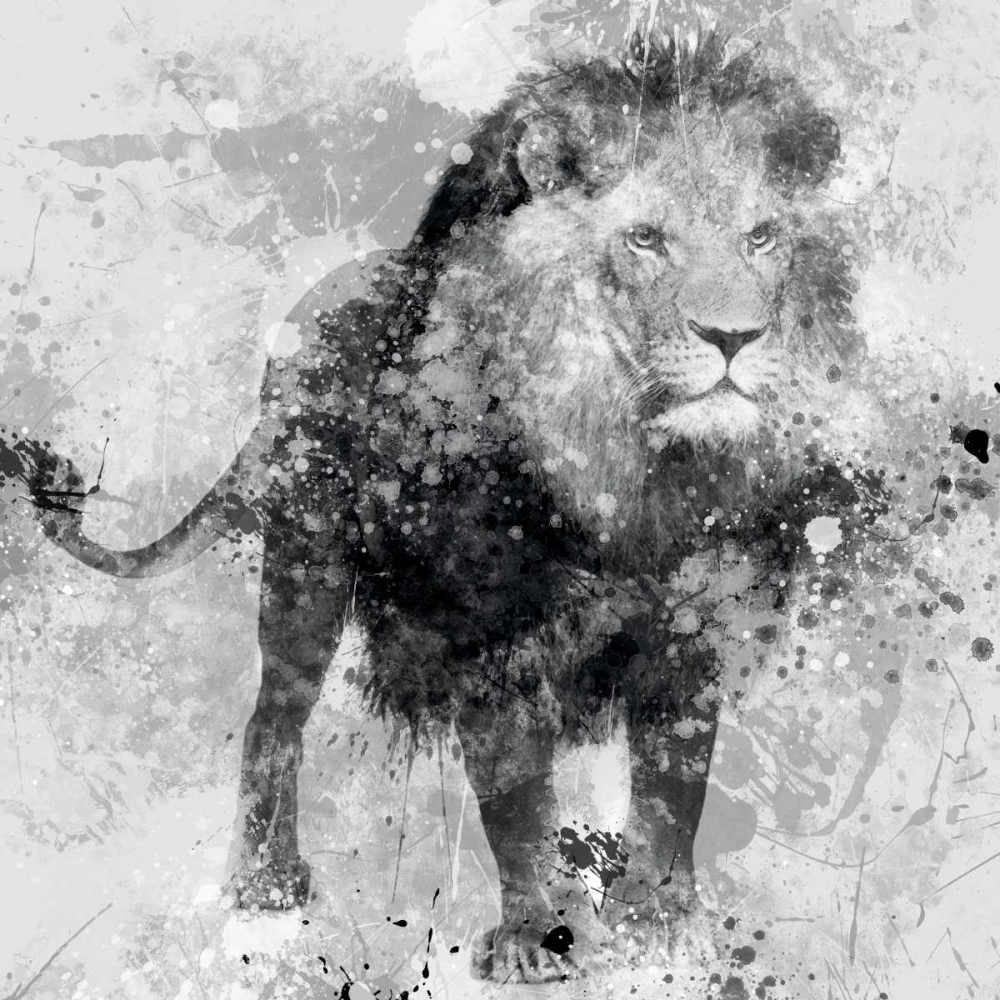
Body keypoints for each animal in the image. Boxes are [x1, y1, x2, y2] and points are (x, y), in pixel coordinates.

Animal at [4, 31, 890, 983]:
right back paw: (264, 883)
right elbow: (516, 798)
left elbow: (674, 788)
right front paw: (539, 937)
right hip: (306, 564)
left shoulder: (696, 632)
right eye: (646, 239)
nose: (735, 338)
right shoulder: (490, 632)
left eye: (762, 237)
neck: (635, 474)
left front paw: (663, 924)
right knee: (271, 716)